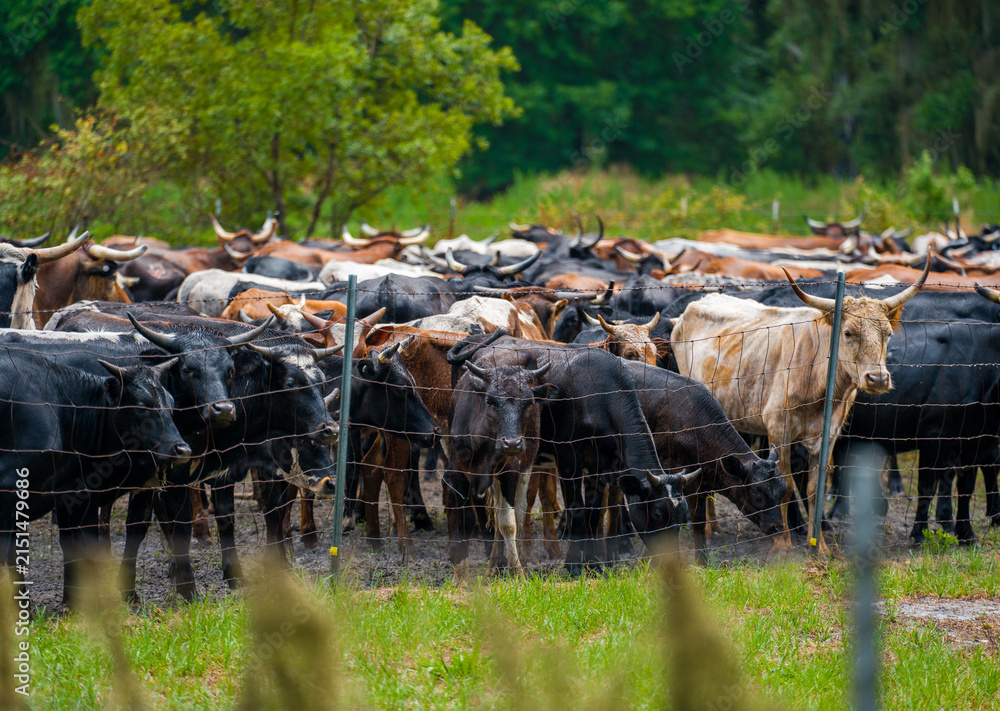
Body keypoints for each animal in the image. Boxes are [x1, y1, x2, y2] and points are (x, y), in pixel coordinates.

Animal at [670, 265, 927, 555]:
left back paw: (713, 526)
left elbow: (816, 489)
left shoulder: (828, 434)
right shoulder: (778, 431)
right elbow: (787, 486)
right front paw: (783, 543)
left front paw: (820, 545)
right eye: (848, 332)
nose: (878, 378)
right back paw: (709, 528)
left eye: (888, 333)